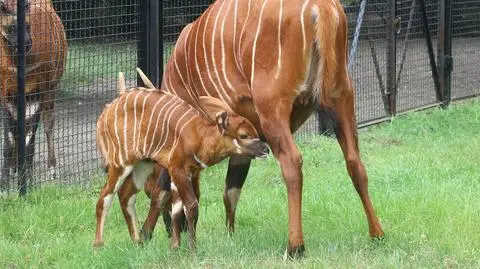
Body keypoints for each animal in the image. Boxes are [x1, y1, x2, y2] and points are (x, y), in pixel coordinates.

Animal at [0, 0, 67, 187]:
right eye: (11, 27)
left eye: (28, 25)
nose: (27, 43)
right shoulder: (6, 93)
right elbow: (9, 141)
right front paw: (5, 185)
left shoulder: (39, 90)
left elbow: (29, 141)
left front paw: (28, 182)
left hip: (51, 88)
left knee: (48, 123)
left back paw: (52, 169)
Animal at [92, 68, 268, 248]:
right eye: (243, 135)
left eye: (255, 131)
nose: (265, 149)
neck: (200, 135)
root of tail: (106, 112)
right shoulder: (177, 169)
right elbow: (191, 206)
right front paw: (191, 248)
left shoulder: (187, 173)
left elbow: (177, 208)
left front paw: (175, 246)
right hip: (120, 162)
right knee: (105, 197)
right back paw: (98, 245)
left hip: (143, 164)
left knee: (126, 196)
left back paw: (138, 241)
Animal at [144, 0, 384, 256]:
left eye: (145, 187)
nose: (165, 232)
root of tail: (322, 6)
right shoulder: (243, 142)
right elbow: (231, 190)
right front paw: (230, 237)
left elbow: (167, 188)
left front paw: (149, 236)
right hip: (341, 96)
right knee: (355, 161)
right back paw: (377, 234)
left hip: (273, 108)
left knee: (292, 163)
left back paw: (295, 247)